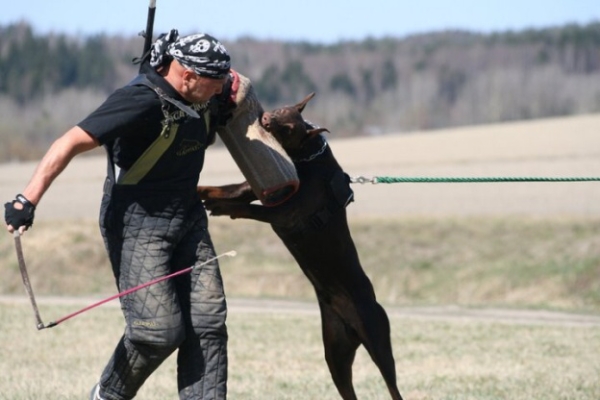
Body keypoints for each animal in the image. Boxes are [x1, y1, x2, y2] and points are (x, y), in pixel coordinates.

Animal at [198, 94, 404, 400]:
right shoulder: (257, 188)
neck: (307, 156)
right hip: (335, 352)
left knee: (392, 384)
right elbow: (225, 189)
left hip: (378, 342)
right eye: (282, 110)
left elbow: (249, 208)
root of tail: (352, 325)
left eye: (287, 129)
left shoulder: (286, 212)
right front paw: (203, 192)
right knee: (346, 385)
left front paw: (223, 208)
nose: (266, 118)